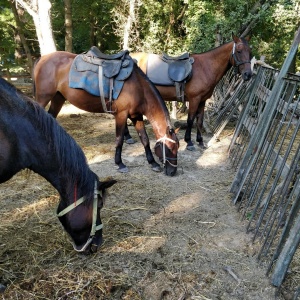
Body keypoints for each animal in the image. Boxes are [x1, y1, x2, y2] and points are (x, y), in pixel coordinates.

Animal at [32, 51, 178, 176]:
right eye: (170, 148)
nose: (172, 172)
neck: (138, 87)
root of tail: (42, 58)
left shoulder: (136, 116)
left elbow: (145, 139)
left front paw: (152, 162)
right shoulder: (121, 115)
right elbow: (119, 140)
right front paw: (120, 164)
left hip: (58, 98)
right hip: (43, 98)